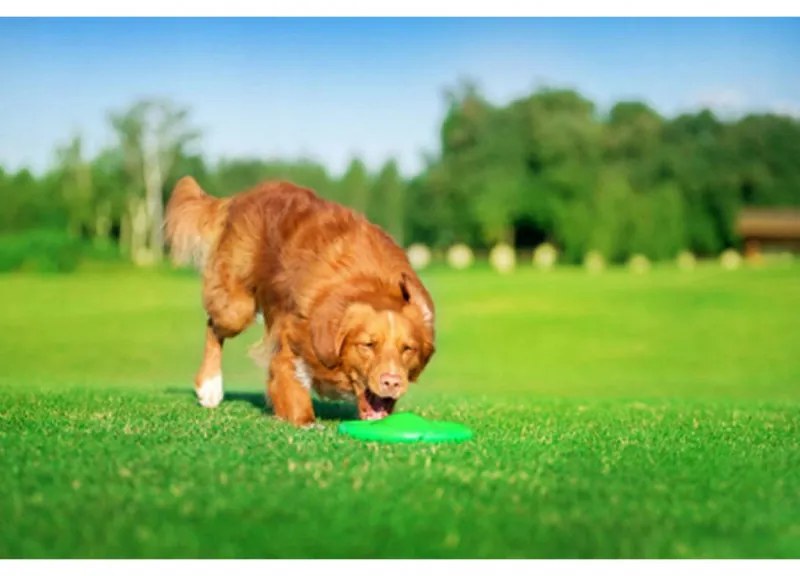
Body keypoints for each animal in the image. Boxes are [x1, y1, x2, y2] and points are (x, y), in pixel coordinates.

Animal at [164, 178, 438, 426]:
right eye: (367, 345)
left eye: (408, 349)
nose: (392, 382)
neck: (371, 284)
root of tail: (242, 196)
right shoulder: (291, 338)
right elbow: (291, 386)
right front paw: (304, 421)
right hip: (236, 308)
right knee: (213, 325)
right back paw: (210, 387)